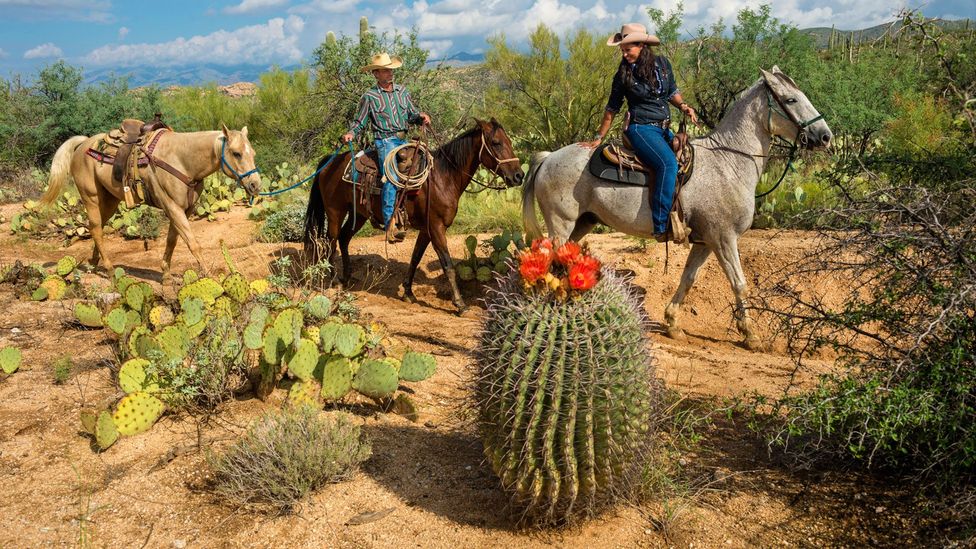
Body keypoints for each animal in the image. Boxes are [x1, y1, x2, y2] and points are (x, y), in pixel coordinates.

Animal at [43, 126, 262, 276]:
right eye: (236, 153)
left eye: (253, 153)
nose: (255, 185)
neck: (183, 160)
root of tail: (83, 144)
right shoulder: (172, 207)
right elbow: (192, 243)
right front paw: (210, 278)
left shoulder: (185, 209)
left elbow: (173, 240)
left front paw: (165, 272)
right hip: (91, 197)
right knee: (96, 228)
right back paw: (110, 269)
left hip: (110, 201)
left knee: (97, 228)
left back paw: (95, 262)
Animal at [304, 117, 528, 310]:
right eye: (496, 143)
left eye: (509, 141)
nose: (519, 176)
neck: (443, 178)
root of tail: (330, 162)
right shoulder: (436, 227)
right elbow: (448, 265)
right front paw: (460, 303)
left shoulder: (427, 229)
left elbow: (415, 258)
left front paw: (408, 292)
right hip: (335, 211)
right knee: (331, 242)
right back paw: (335, 280)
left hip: (358, 214)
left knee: (343, 238)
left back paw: (347, 277)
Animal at [524, 67, 836, 346]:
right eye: (791, 100)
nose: (825, 136)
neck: (729, 163)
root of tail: (548, 157)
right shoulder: (724, 238)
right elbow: (739, 283)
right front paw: (751, 335)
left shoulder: (705, 242)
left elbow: (688, 279)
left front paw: (673, 323)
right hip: (561, 224)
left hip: (582, 223)